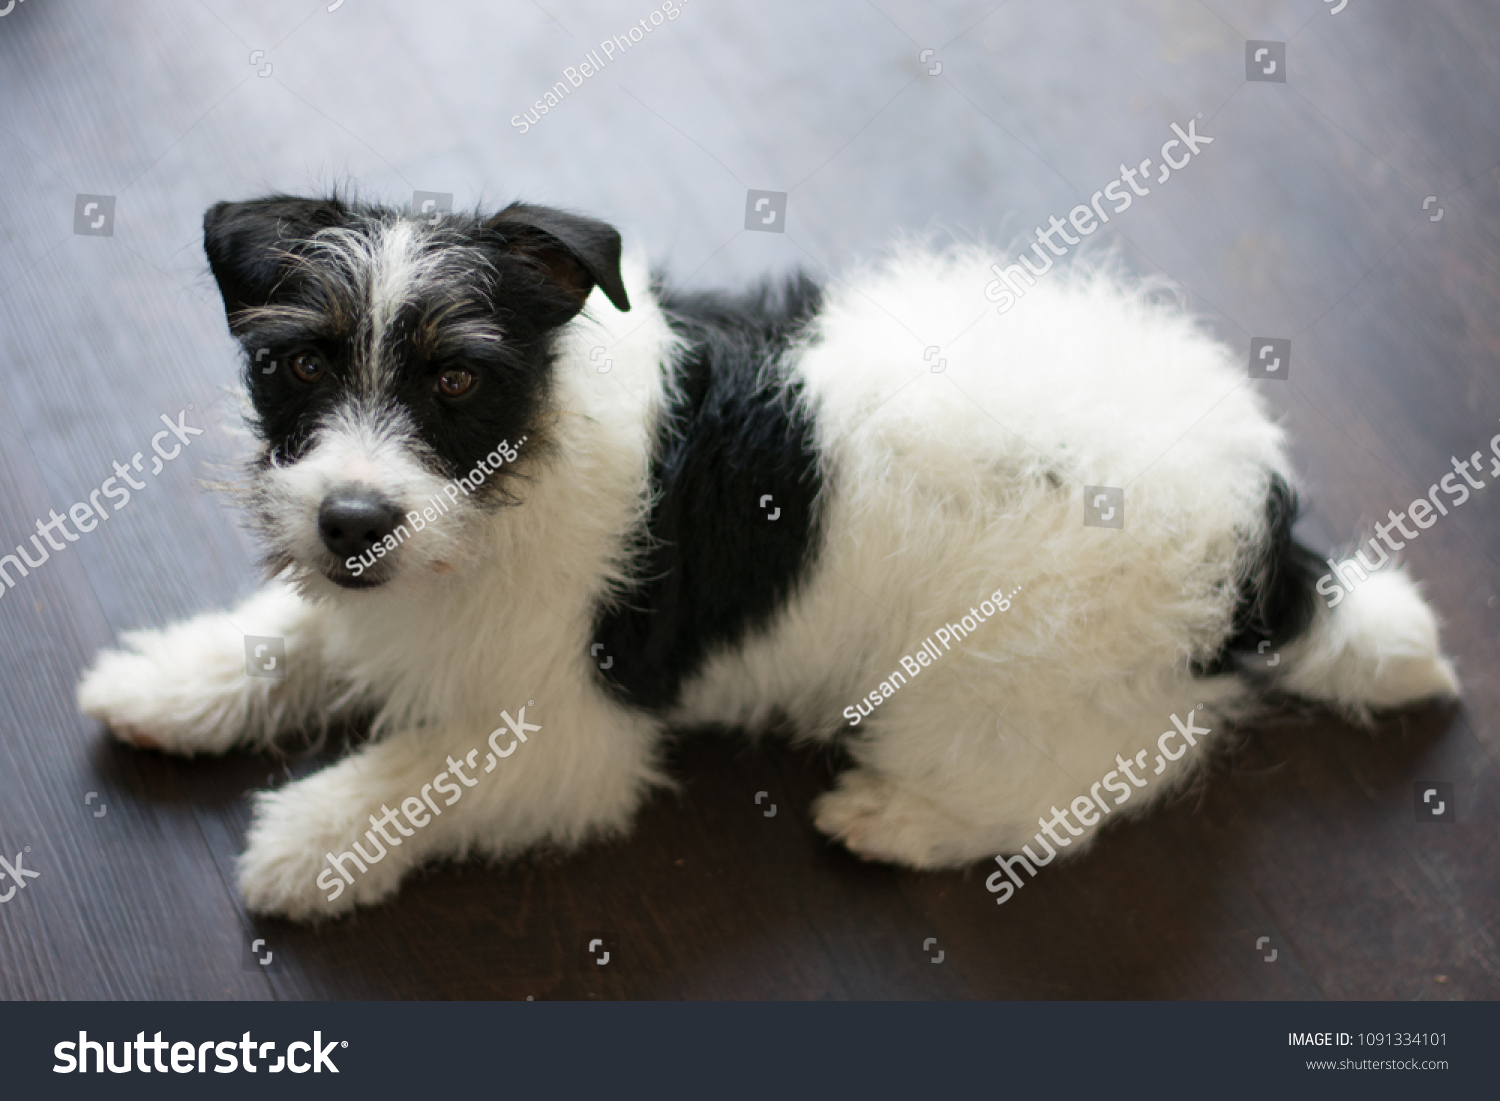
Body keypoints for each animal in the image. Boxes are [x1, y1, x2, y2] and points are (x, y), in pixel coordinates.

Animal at [73, 193, 1464, 918]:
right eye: (300, 365)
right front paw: (167, 682)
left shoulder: (571, 740)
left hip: (1009, 686)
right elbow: (288, 636)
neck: (524, 455)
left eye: (458, 379)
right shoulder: (381, 593)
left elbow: (416, 776)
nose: (352, 522)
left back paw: (902, 818)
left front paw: (307, 845)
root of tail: (1268, 537)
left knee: (1084, 787)